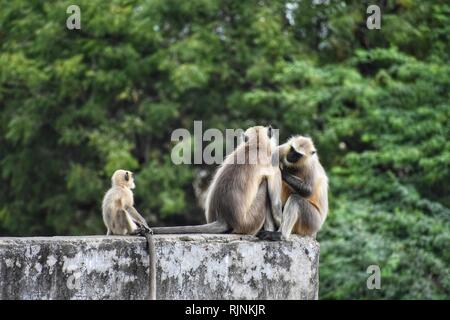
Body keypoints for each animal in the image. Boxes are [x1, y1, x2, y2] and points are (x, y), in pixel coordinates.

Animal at [102, 170, 156, 300]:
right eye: (131, 177)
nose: (133, 182)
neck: (119, 186)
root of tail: (110, 230)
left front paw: (143, 226)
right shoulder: (126, 193)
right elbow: (128, 207)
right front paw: (144, 225)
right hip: (119, 228)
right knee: (122, 211)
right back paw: (133, 231)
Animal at [153, 125, 284, 235]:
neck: (255, 146)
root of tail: (223, 217)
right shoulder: (273, 165)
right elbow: (276, 205)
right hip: (250, 221)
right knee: (265, 186)